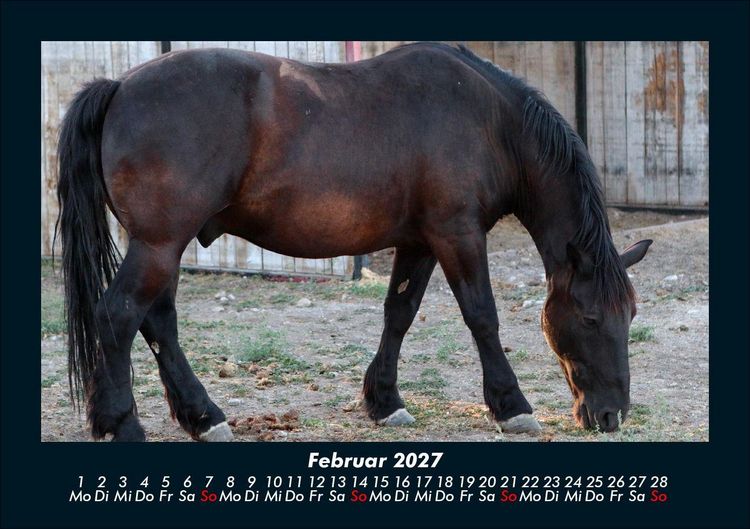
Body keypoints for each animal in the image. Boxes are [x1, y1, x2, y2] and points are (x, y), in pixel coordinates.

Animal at [55, 42, 652, 441]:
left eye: (630, 315)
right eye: (591, 318)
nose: (611, 415)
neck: (490, 121)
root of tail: (119, 87)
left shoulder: (420, 242)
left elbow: (399, 313)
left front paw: (384, 401)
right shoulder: (457, 235)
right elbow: (482, 316)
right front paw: (511, 405)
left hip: (161, 247)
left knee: (156, 323)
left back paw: (202, 417)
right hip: (158, 244)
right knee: (119, 316)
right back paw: (123, 424)